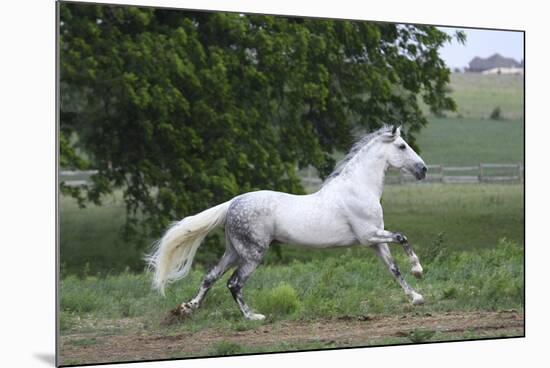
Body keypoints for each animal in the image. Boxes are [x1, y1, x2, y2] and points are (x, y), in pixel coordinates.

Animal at [148, 126, 432, 320]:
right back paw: (253, 317)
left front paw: (416, 297)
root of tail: (232, 203)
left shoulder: (375, 241)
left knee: (210, 277)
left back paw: (188, 308)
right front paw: (418, 271)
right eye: (402, 146)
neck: (359, 188)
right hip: (253, 254)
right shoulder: (369, 235)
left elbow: (393, 269)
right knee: (234, 283)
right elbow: (403, 237)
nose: (423, 170)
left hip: (234, 251)